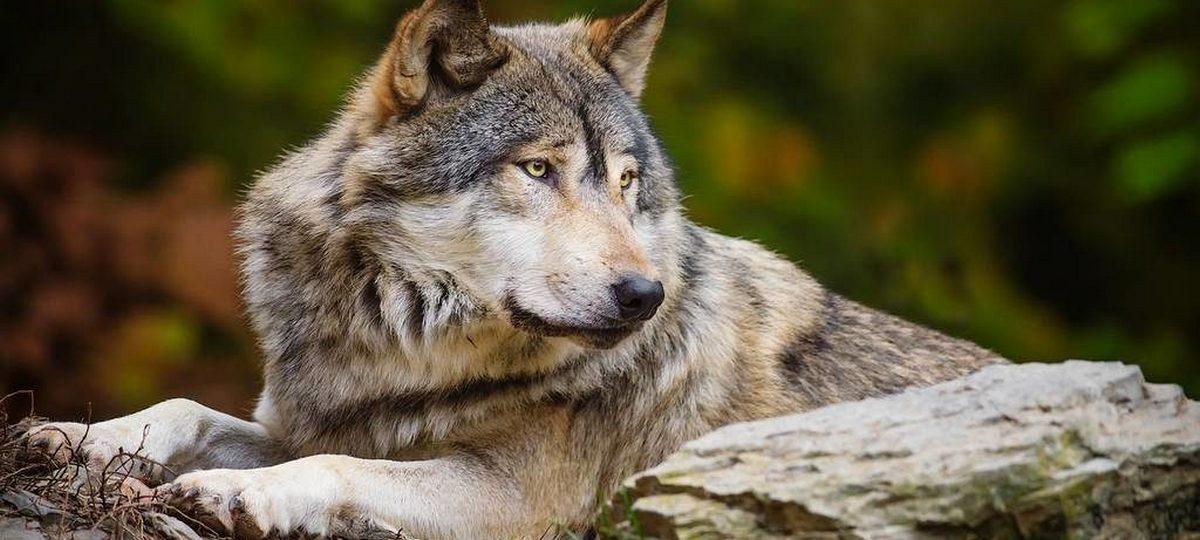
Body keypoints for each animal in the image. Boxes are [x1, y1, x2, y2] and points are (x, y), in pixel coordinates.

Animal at [26, 0, 1004, 538]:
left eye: (626, 182)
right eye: (538, 170)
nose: (644, 295)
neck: (403, 351)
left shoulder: (518, 502)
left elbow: (335, 471)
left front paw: (239, 493)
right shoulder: (319, 420)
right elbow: (187, 408)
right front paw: (78, 437)